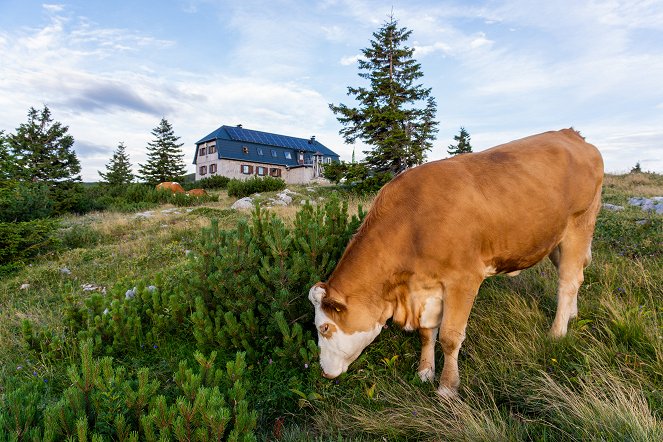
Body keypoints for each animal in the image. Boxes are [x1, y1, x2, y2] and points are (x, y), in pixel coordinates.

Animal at [308, 127, 604, 398]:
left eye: (324, 327)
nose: (323, 372)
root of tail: (571, 134)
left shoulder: (464, 279)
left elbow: (450, 337)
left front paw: (447, 388)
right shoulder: (427, 287)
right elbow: (427, 332)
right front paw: (425, 372)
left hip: (579, 225)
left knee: (568, 281)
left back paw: (557, 332)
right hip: (553, 238)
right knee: (575, 277)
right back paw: (572, 315)